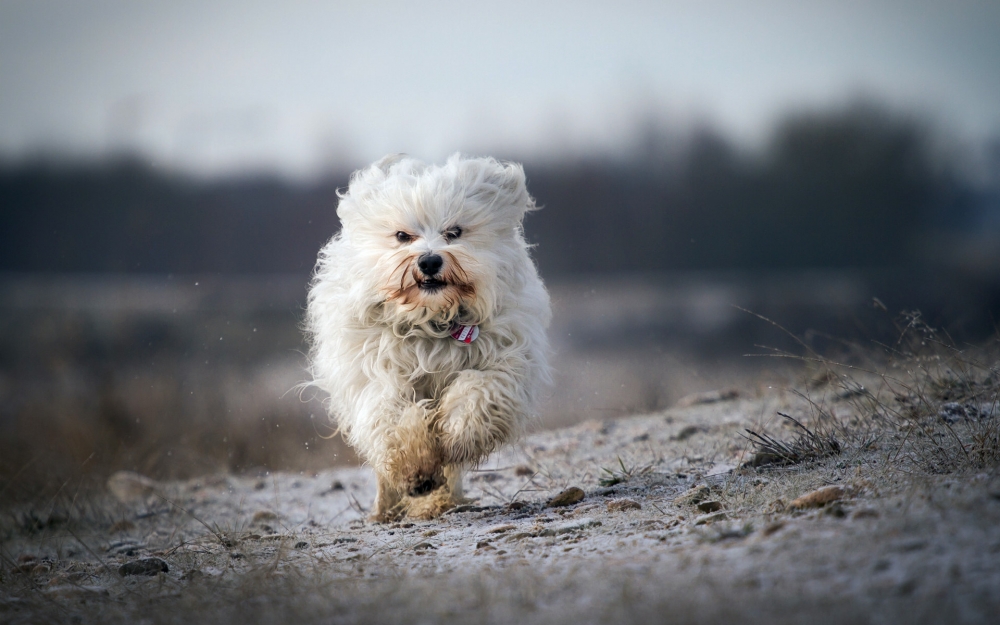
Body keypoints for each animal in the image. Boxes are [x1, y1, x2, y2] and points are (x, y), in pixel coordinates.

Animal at [306, 154, 552, 520]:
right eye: (402, 236)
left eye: (454, 232)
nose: (430, 260)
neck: (432, 321)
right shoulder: (377, 372)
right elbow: (393, 416)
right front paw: (415, 469)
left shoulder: (504, 361)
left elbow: (478, 393)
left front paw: (458, 437)